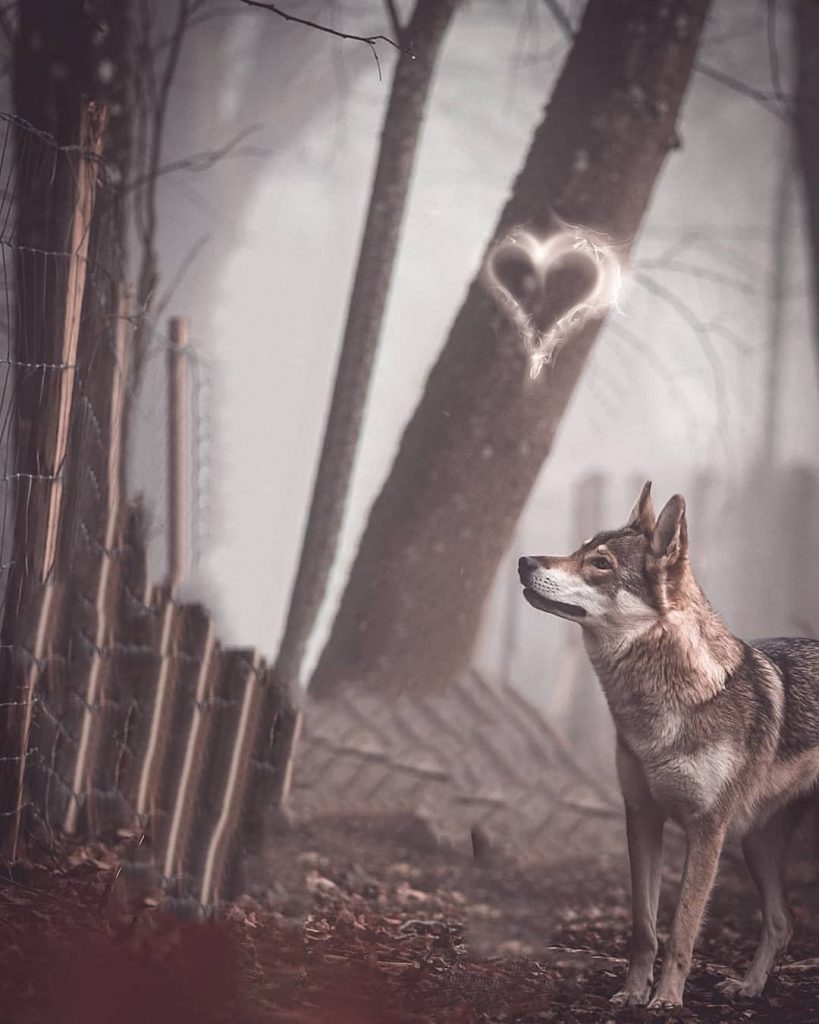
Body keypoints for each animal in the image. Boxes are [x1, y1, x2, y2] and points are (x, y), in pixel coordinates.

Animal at [517, 481, 819, 1008]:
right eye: (577, 550)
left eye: (600, 563)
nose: (523, 562)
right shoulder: (641, 818)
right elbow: (644, 927)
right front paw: (632, 994)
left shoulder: (707, 830)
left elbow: (682, 929)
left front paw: (667, 1000)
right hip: (756, 843)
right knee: (783, 922)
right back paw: (747, 987)